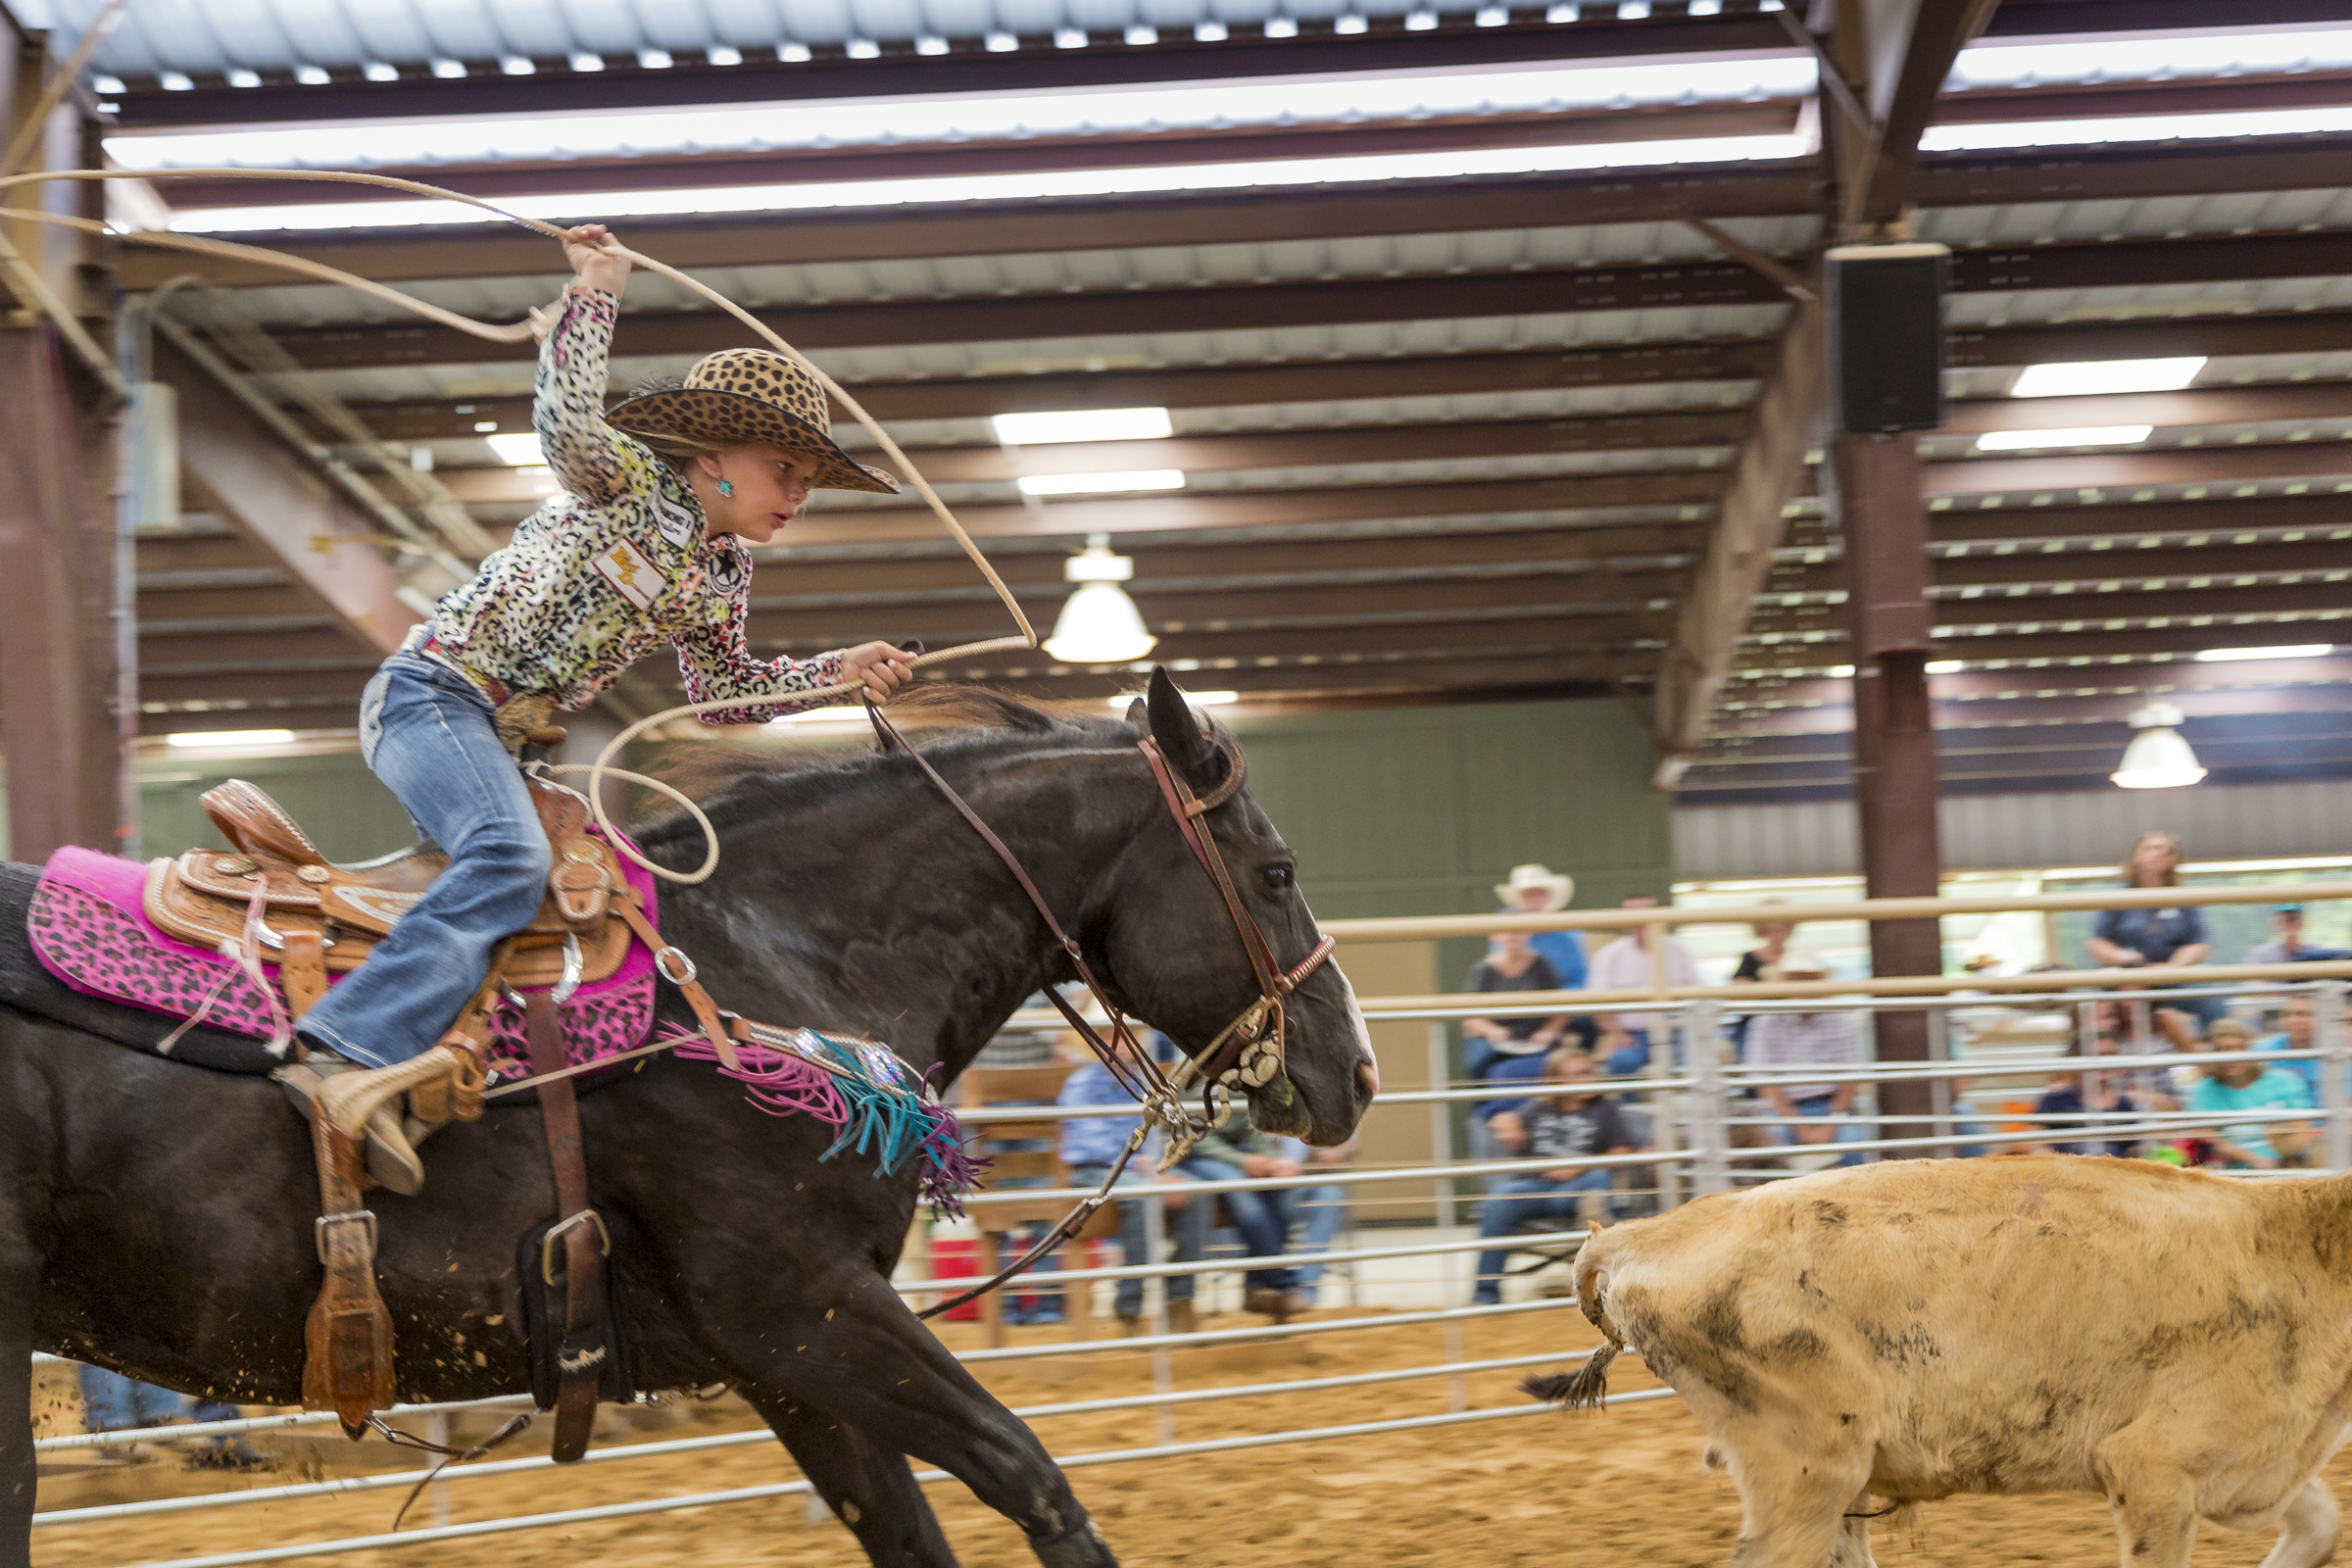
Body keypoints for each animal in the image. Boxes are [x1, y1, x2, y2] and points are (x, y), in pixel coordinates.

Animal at [0, 676, 1373, 1568]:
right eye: (1276, 873)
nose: (1353, 1074)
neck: (773, 962)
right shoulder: (806, 1305)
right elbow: (1030, 1477)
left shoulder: (781, 1355)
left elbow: (911, 1528)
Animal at [1533, 1161, 2352, 1568]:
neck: (2301, 1249)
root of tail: (1642, 1234)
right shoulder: (2150, 1468)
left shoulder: (2256, 1470)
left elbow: (2319, 1526)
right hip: (1804, 1465)